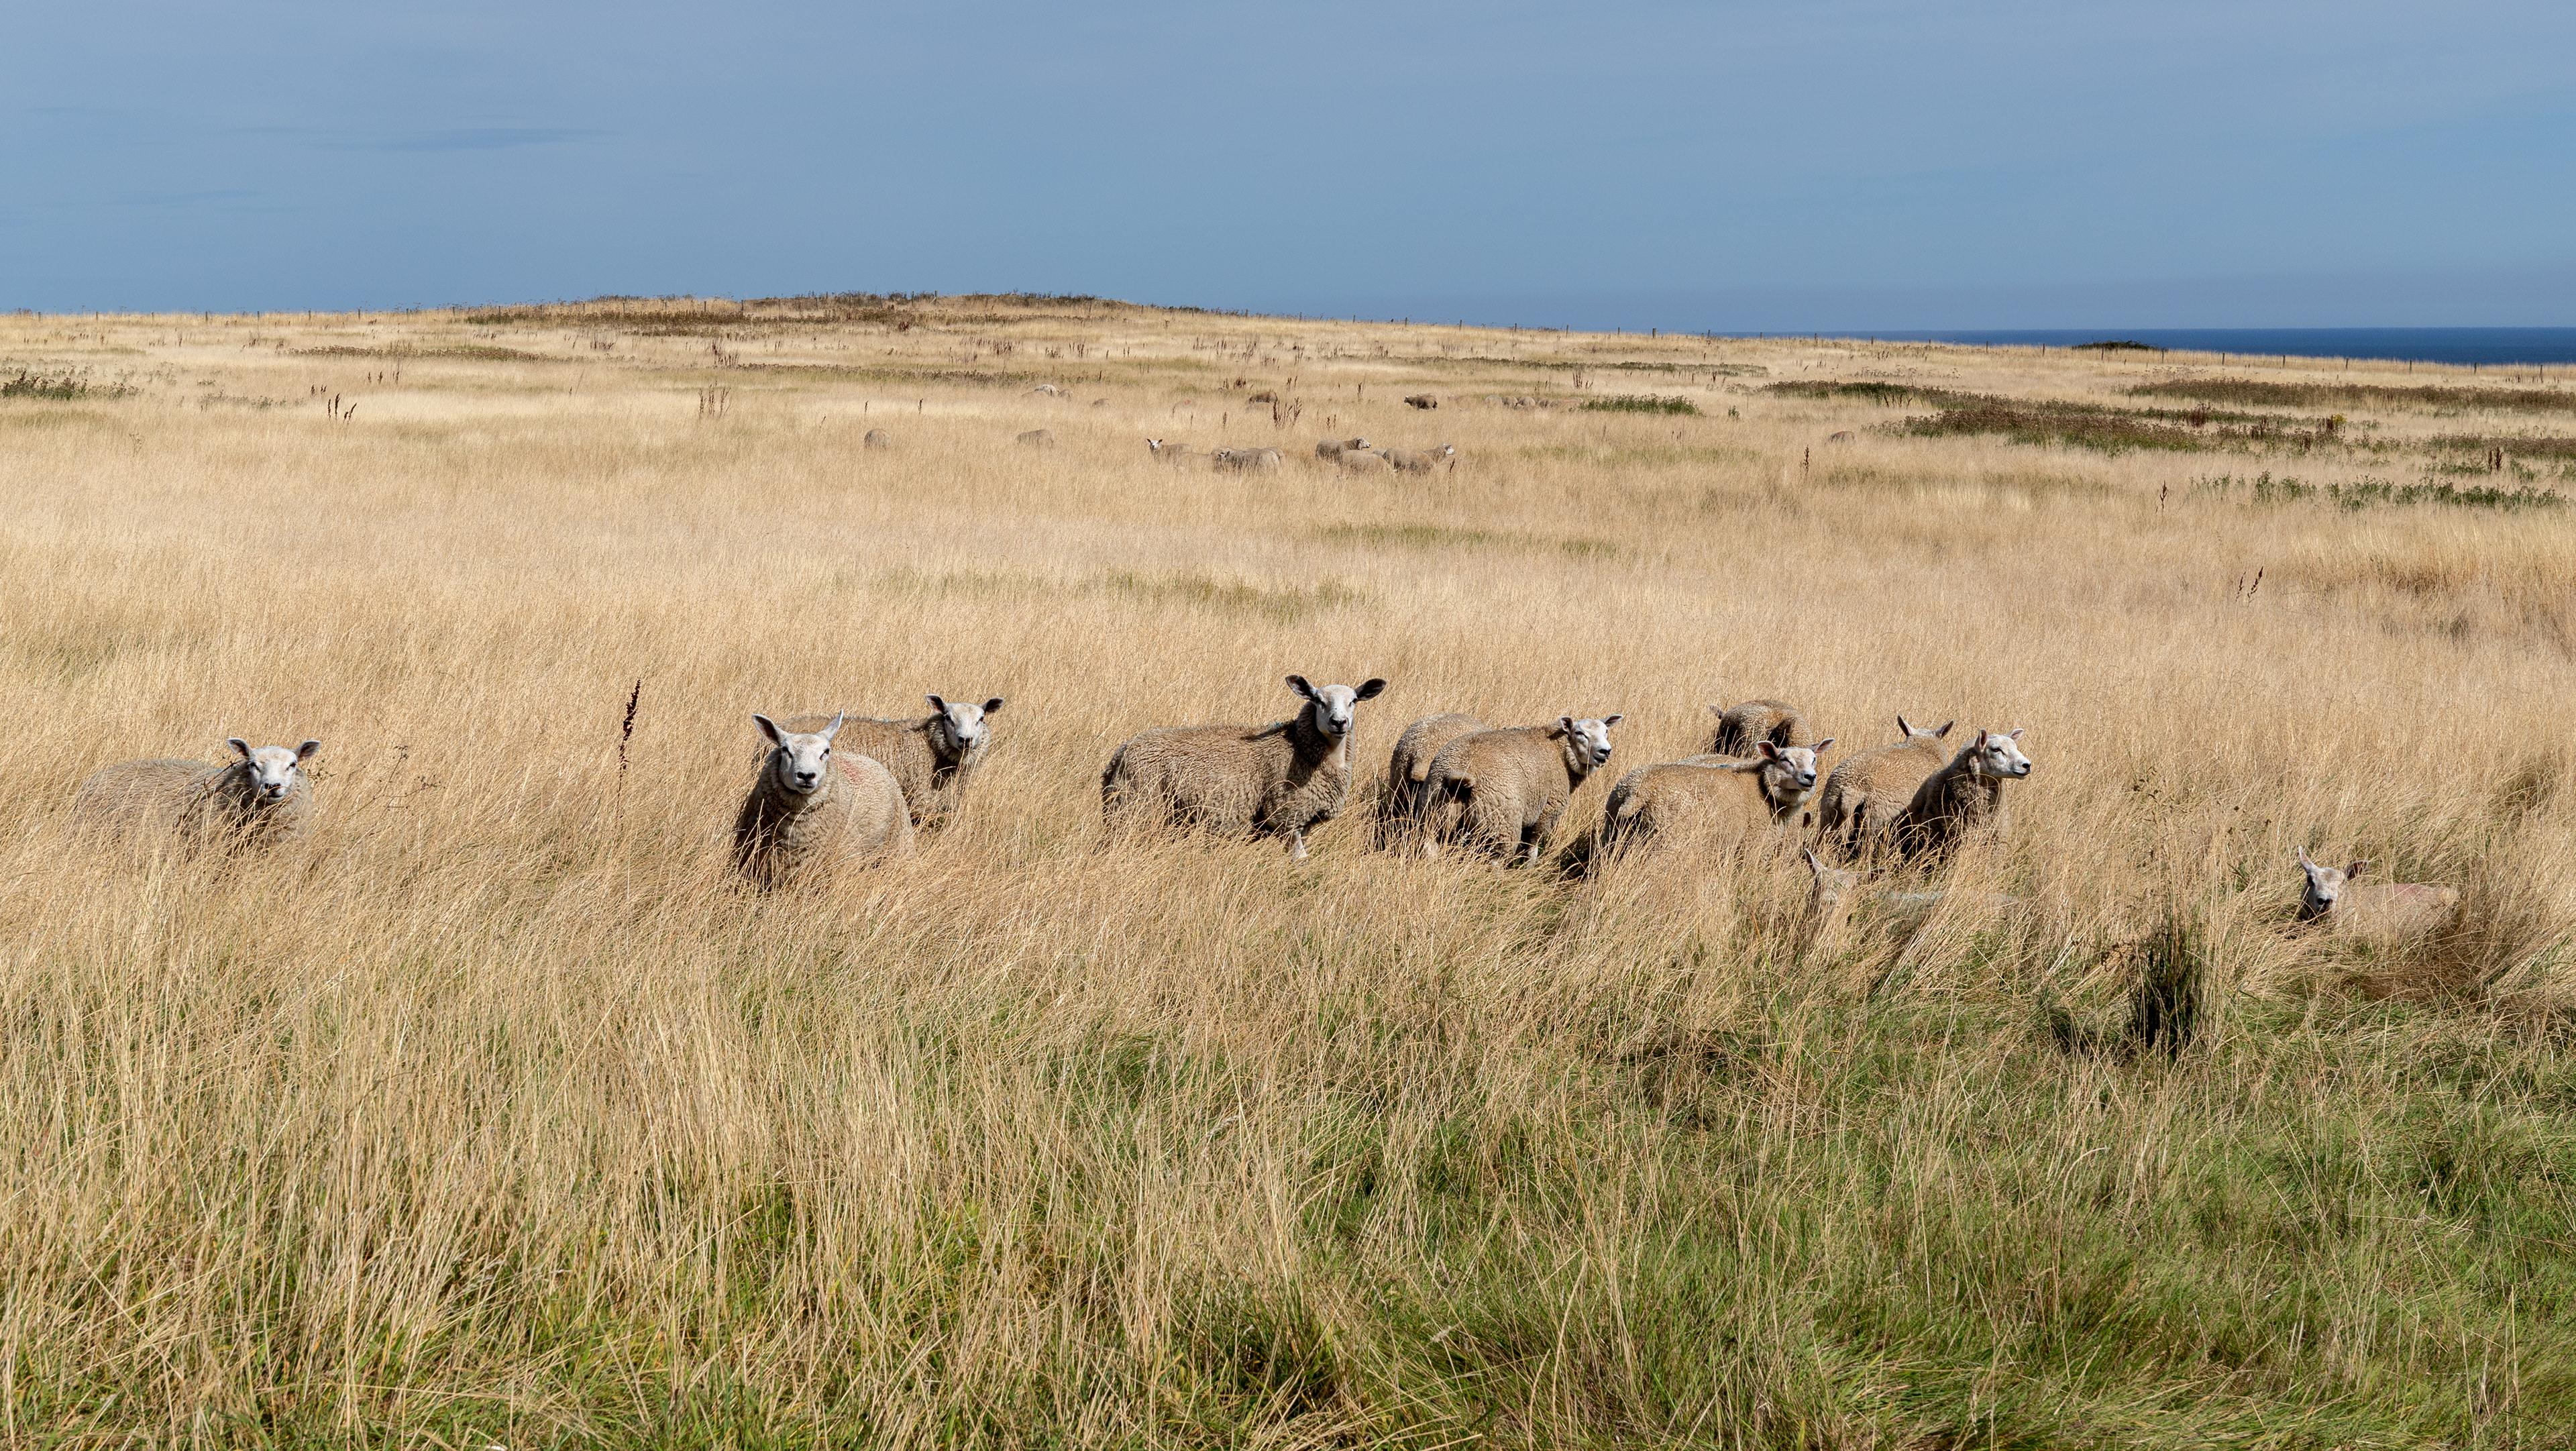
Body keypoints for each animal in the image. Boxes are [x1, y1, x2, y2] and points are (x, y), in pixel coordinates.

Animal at [1101, 675, 1390, 860]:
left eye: (1354, 700)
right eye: (1318, 700)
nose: (1339, 722)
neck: (1299, 747)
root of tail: (1123, 750)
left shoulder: (1304, 819)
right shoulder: (1285, 815)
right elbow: (1300, 861)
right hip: (1137, 807)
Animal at [1415, 715, 1622, 865]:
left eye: (1606, 731)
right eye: (1579, 733)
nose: (1605, 751)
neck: (1559, 753)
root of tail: (1459, 778)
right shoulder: (1546, 812)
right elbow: (1532, 847)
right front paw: (1529, 868)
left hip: (1432, 815)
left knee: (1430, 848)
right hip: (1502, 822)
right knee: (1496, 860)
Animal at [1598, 739, 1834, 857]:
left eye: (1814, 760)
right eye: (1784, 760)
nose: (1810, 777)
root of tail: (1638, 791)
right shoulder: (1752, 846)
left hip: (1614, 832)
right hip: (1666, 840)